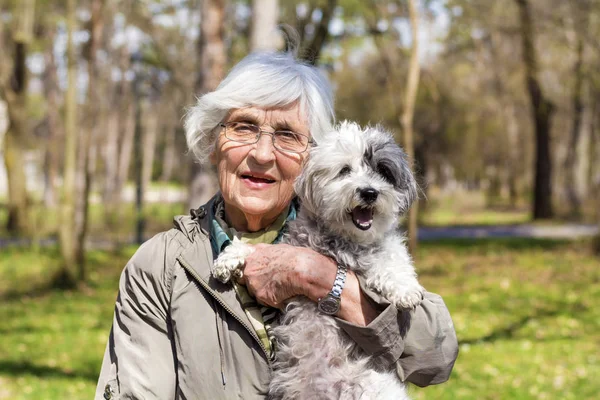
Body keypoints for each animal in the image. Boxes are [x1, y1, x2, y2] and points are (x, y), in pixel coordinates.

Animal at [213, 122, 424, 400]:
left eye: (382, 171)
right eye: (345, 170)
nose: (369, 192)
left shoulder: (382, 247)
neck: (343, 241)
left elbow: (391, 255)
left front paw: (405, 288)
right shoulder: (290, 245)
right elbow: (256, 248)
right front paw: (229, 257)